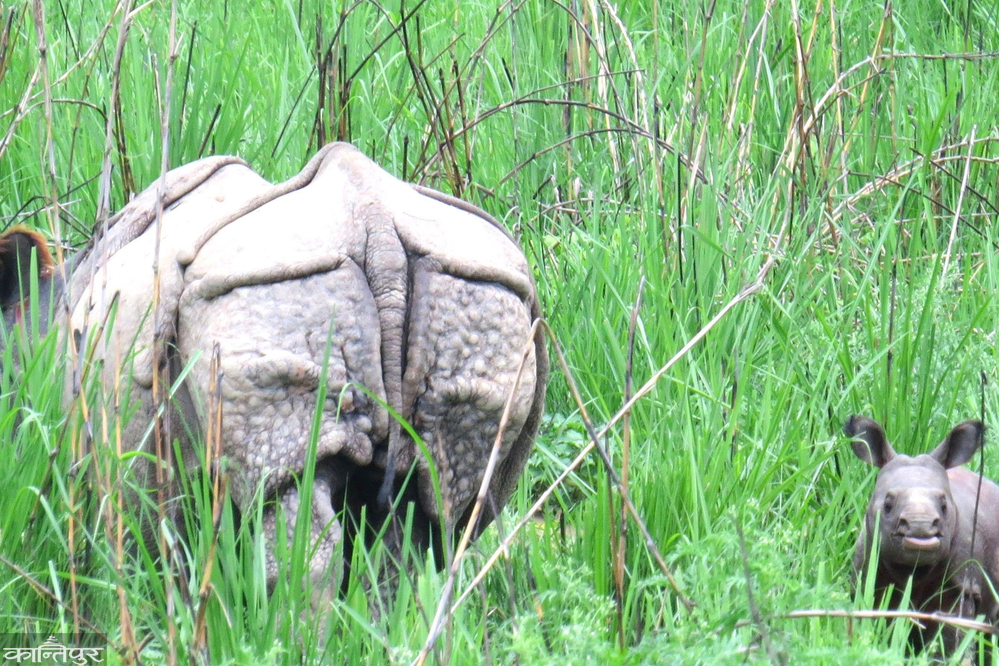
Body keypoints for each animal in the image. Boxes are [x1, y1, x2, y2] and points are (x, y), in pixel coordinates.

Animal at [845, 415, 999, 654]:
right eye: (887, 505)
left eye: (944, 506)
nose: (921, 528)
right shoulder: (865, 578)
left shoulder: (961, 587)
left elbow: (949, 640)